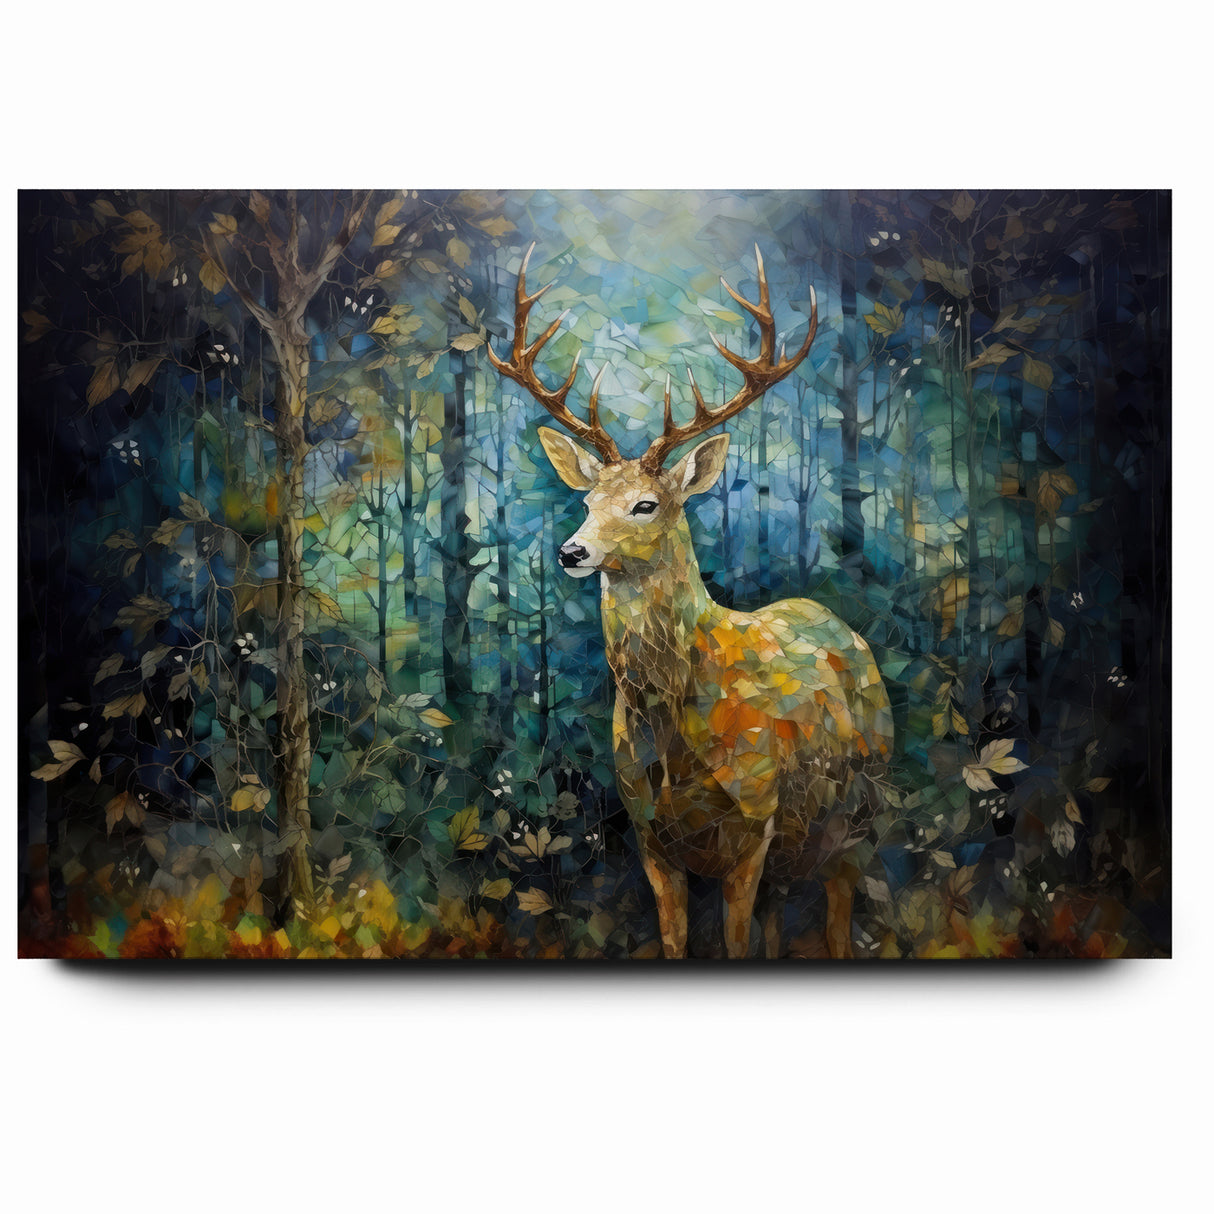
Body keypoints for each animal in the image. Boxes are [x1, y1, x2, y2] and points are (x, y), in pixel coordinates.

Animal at [487, 245, 893, 959]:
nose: (571, 551)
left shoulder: (753, 828)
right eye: (587, 500)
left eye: (646, 504)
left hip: (860, 816)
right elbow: (677, 943)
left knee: (840, 916)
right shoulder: (650, 835)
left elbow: (733, 944)